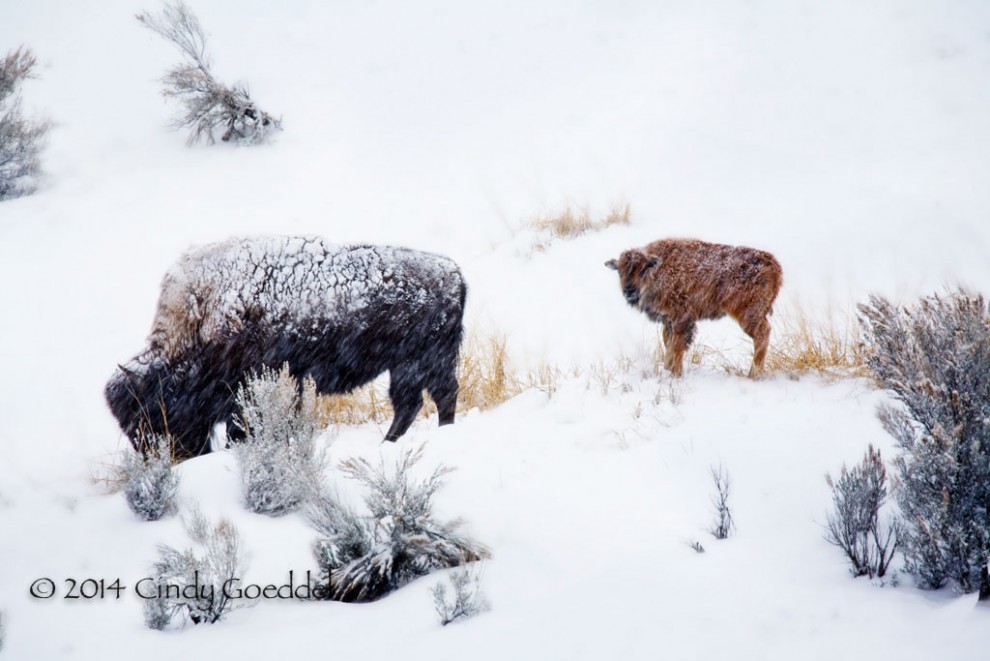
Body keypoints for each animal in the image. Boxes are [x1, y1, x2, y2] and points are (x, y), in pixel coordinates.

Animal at [104, 236, 468, 458]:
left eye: (148, 413)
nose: (166, 458)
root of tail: (454, 272)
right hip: (409, 365)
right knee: (419, 401)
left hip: (420, 361)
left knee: (431, 397)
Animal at [604, 237, 784, 376]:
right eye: (619, 271)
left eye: (642, 271)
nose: (630, 292)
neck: (658, 269)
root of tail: (774, 266)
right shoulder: (668, 321)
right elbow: (668, 343)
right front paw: (668, 370)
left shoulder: (681, 319)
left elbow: (677, 346)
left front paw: (674, 373)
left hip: (748, 315)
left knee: (762, 334)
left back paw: (753, 375)